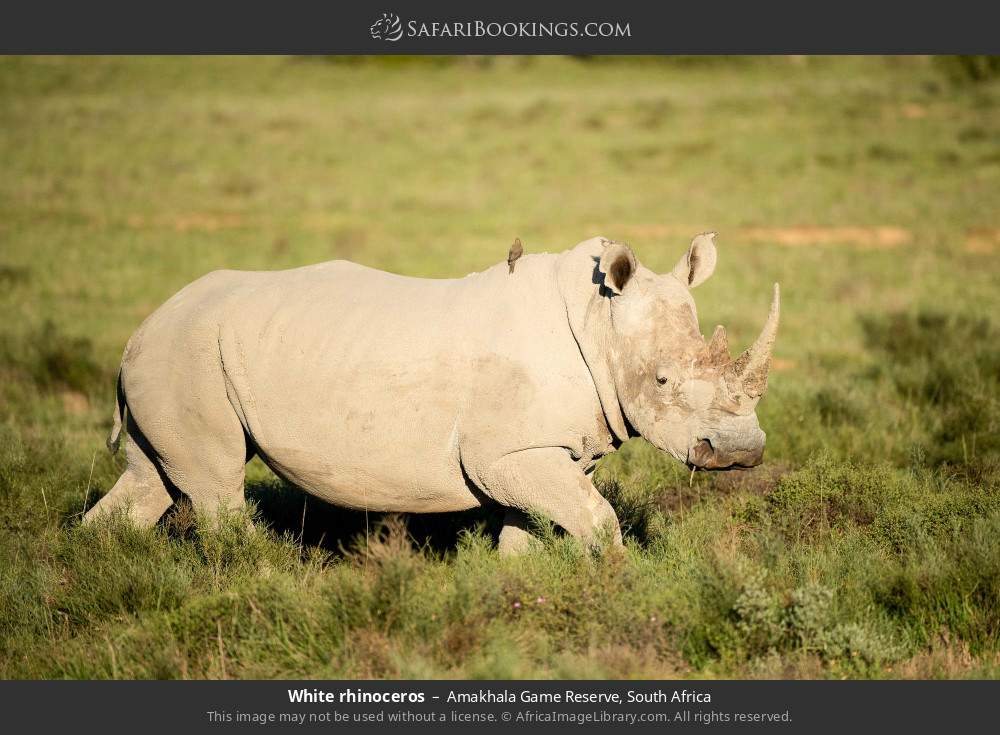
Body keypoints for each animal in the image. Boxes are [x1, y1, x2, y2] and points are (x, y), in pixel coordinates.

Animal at [84, 233, 779, 553]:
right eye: (661, 381)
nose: (739, 451)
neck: (597, 320)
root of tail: (140, 329)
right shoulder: (507, 452)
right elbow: (597, 521)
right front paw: (612, 583)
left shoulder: (539, 451)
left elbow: (532, 528)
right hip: (187, 355)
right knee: (216, 483)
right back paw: (255, 574)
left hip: (174, 358)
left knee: (152, 479)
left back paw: (94, 559)